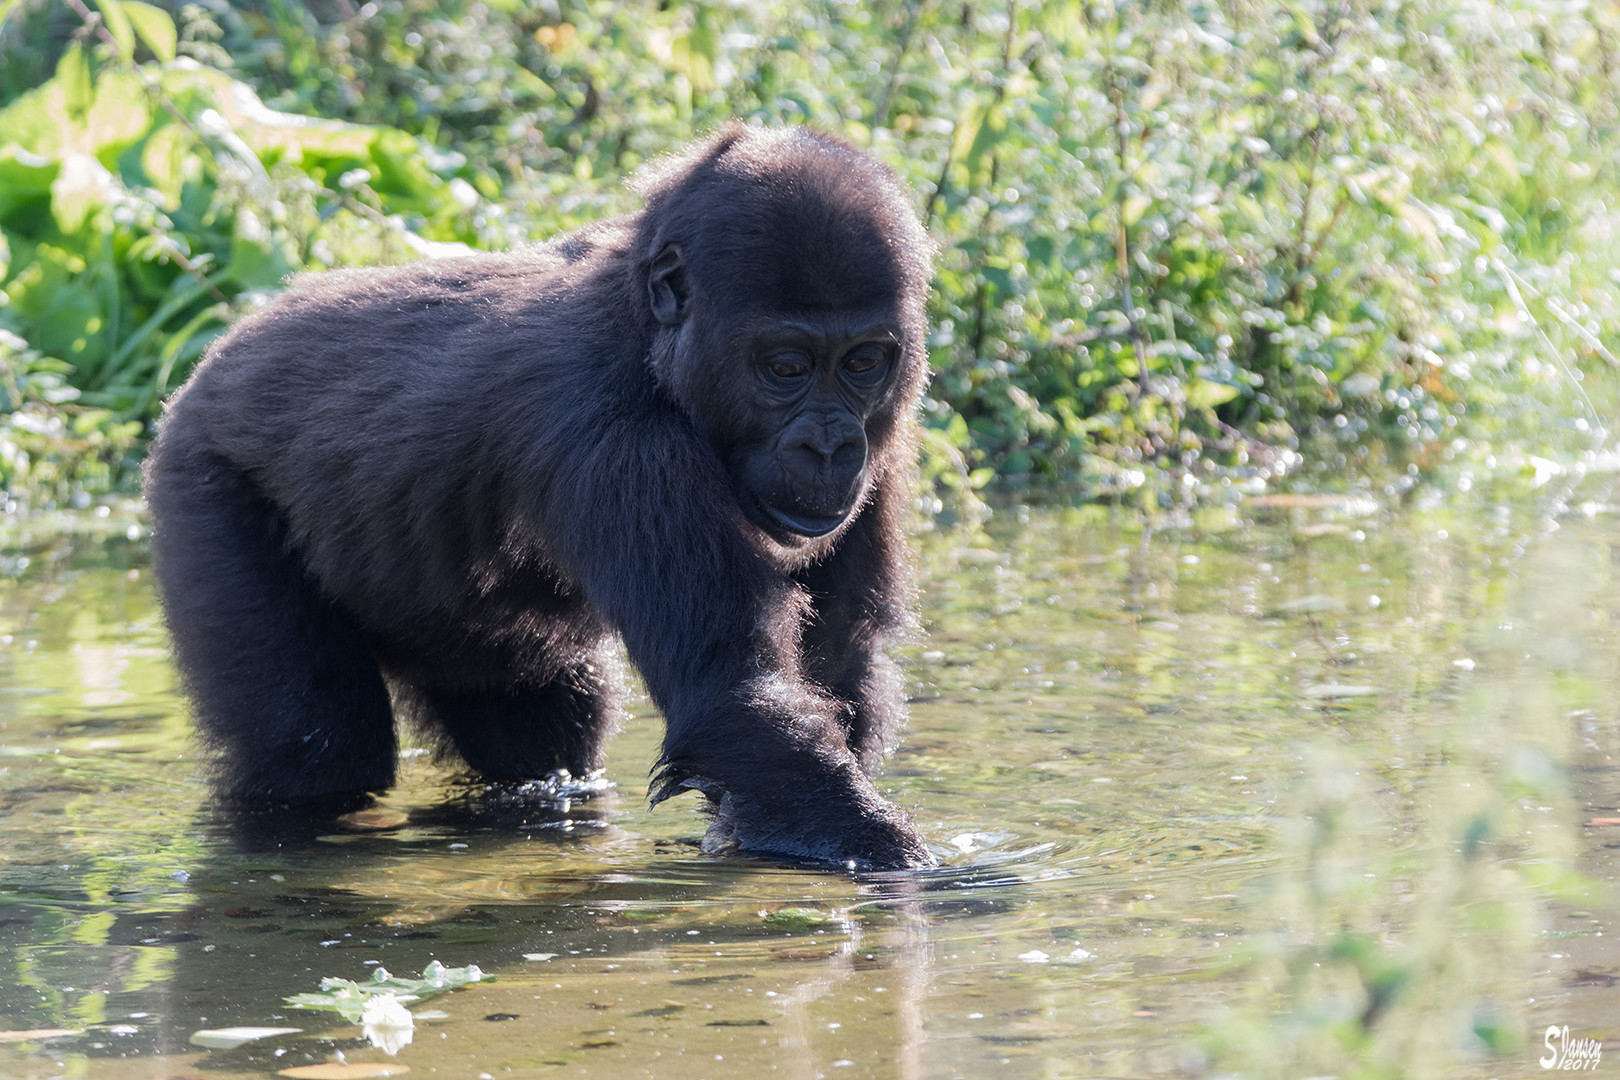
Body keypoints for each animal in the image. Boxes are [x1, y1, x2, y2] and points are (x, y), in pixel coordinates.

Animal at [154, 124, 939, 867]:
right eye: (786, 367)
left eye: (863, 363)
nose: (830, 449)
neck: (646, 334)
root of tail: (215, 357)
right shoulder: (615, 437)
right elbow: (735, 698)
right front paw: (910, 866)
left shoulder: (886, 445)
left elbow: (840, 661)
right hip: (199, 469)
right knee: (316, 748)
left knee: (538, 736)